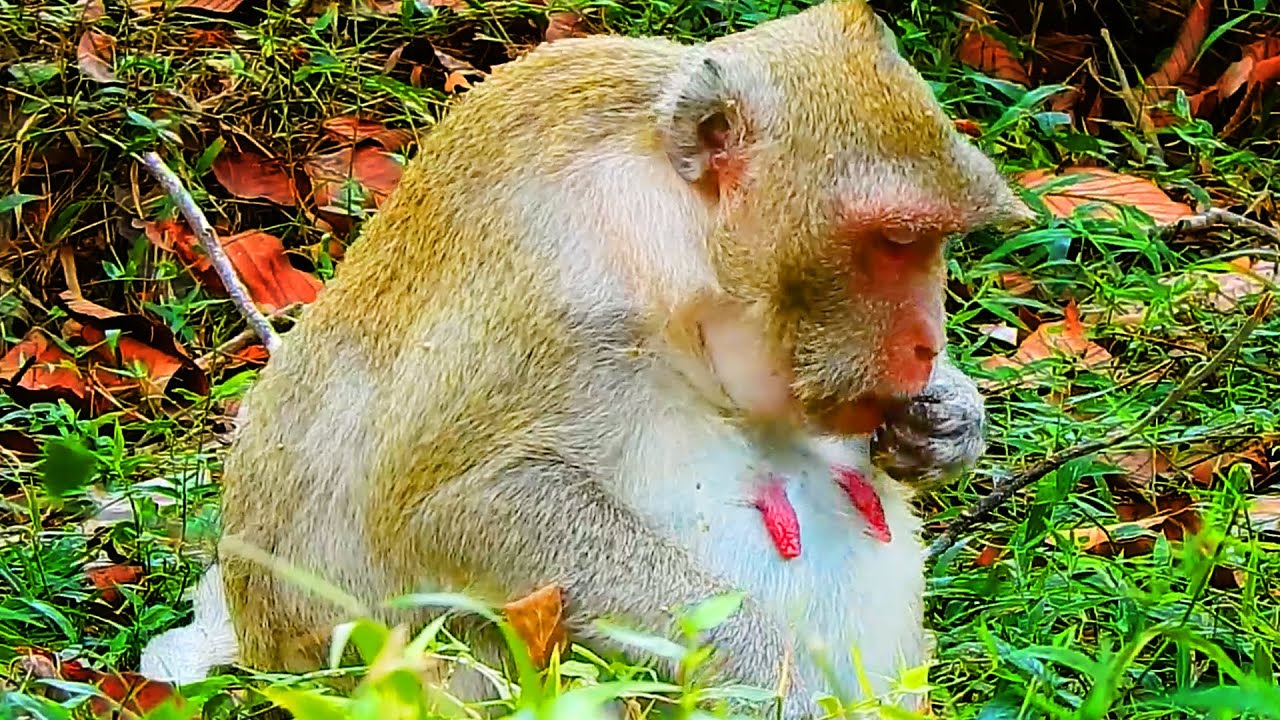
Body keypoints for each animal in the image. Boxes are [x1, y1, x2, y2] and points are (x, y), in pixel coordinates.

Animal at [138, 1, 1031, 716]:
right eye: (895, 241)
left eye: (933, 242)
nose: (923, 341)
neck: (666, 242)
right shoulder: (559, 297)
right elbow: (466, 503)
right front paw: (786, 688)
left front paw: (947, 418)